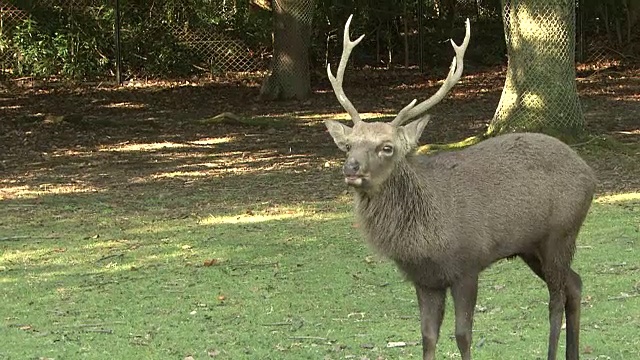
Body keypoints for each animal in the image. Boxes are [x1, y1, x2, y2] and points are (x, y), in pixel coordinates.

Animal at [328, 14, 596, 360]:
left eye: (387, 147)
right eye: (348, 145)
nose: (351, 168)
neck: (427, 240)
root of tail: (590, 174)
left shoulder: (468, 265)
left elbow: (463, 335)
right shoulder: (425, 280)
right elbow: (428, 336)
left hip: (560, 233)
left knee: (557, 296)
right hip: (530, 246)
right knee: (575, 284)